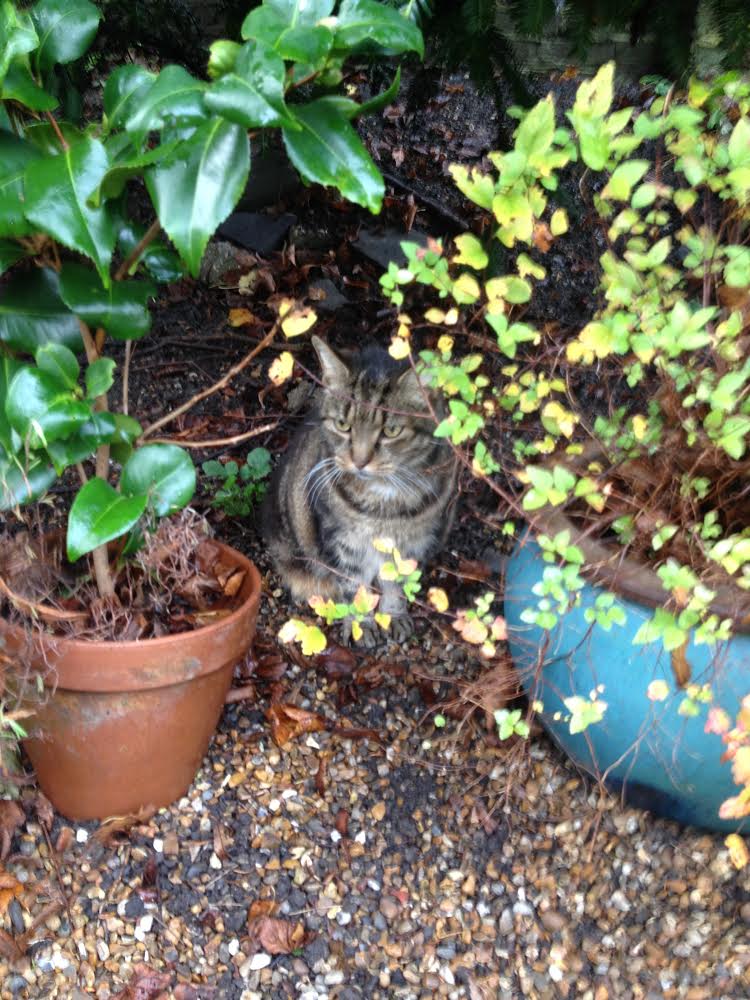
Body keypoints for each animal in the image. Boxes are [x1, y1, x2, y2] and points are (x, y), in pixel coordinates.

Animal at [262, 336, 456, 644]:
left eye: (391, 431)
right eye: (343, 425)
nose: (360, 461)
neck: (384, 501)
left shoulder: (412, 544)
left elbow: (395, 584)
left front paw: (393, 615)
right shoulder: (344, 544)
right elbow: (355, 587)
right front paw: (360, 625)